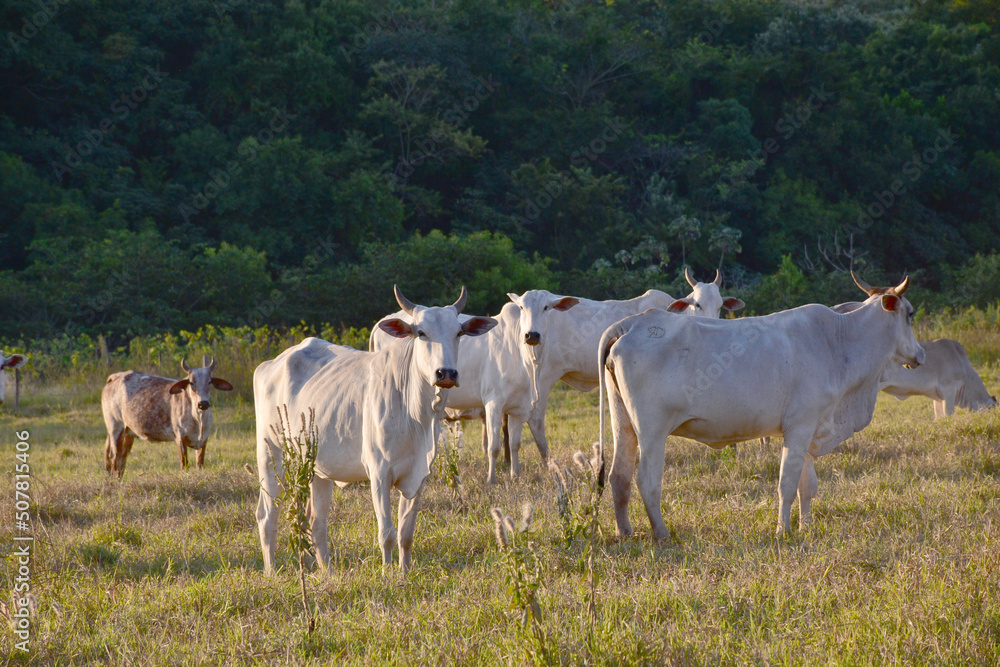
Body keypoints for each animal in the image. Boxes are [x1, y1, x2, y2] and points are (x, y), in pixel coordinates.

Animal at [102, 357, 233, 478]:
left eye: (209, 381)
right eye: (191, 382)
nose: (203, 403)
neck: (198, 419)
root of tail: (115, 377)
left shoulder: (203, 440)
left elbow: (199, 465)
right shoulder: (180, 437)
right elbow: (184, 465)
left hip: (128, 433)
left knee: (121, 459)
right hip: (115, 428)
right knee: (115, 458)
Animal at [254, 286, 497, 574]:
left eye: (458, 333)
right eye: (421, 332)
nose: (445, 373)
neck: (415, 414)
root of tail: (270, 364)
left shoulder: (419, 476)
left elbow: (405, 533)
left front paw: (404, 572)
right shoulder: (379, 474)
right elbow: (387, 533)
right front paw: (386, 574)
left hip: (318, 467)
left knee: (316, 521)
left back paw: (328, 573)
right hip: (271, 455)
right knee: (267, 516)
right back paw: (271, 571)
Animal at [371, 302, 535, 483]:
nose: (532, 336)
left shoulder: (518, 408)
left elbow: (515, 444)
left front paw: (516, 476)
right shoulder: (493, 404)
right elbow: (494, 447)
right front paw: (491, 480)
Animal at [511, 268, 745, 460]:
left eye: (720, 305)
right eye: (697, 304)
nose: (714, 322)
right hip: (543, 376)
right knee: (535, 418)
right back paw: (548, 461)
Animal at [598, 273, 924, 538]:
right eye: (909, 313)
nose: (920, 354)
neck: (838, 342)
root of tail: (631, 323)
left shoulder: (808, 429)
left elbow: (807, 486)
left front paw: (805, 527)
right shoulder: (800, 427)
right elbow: (787, 484)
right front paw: (783, 530)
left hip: (623, 424)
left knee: (619, 477)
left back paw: (624, 532)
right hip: (651, 431)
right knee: (647, 480)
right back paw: (662, 534)